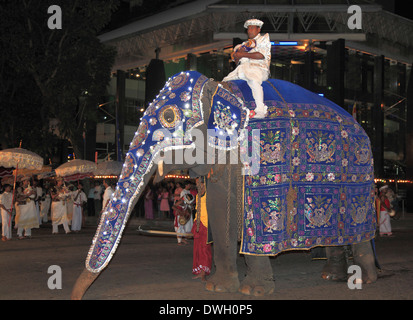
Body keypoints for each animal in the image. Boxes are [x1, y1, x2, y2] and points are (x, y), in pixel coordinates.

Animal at [70, 71, 376, 298]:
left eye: (169, 117)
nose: (77, 296)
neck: (220, 89)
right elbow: (219, 216)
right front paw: (217, 287)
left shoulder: (253, 156)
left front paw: (254, 292)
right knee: (335, 237)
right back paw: (331, 275)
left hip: (361, 182)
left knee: (360, 232)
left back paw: (364, 280)